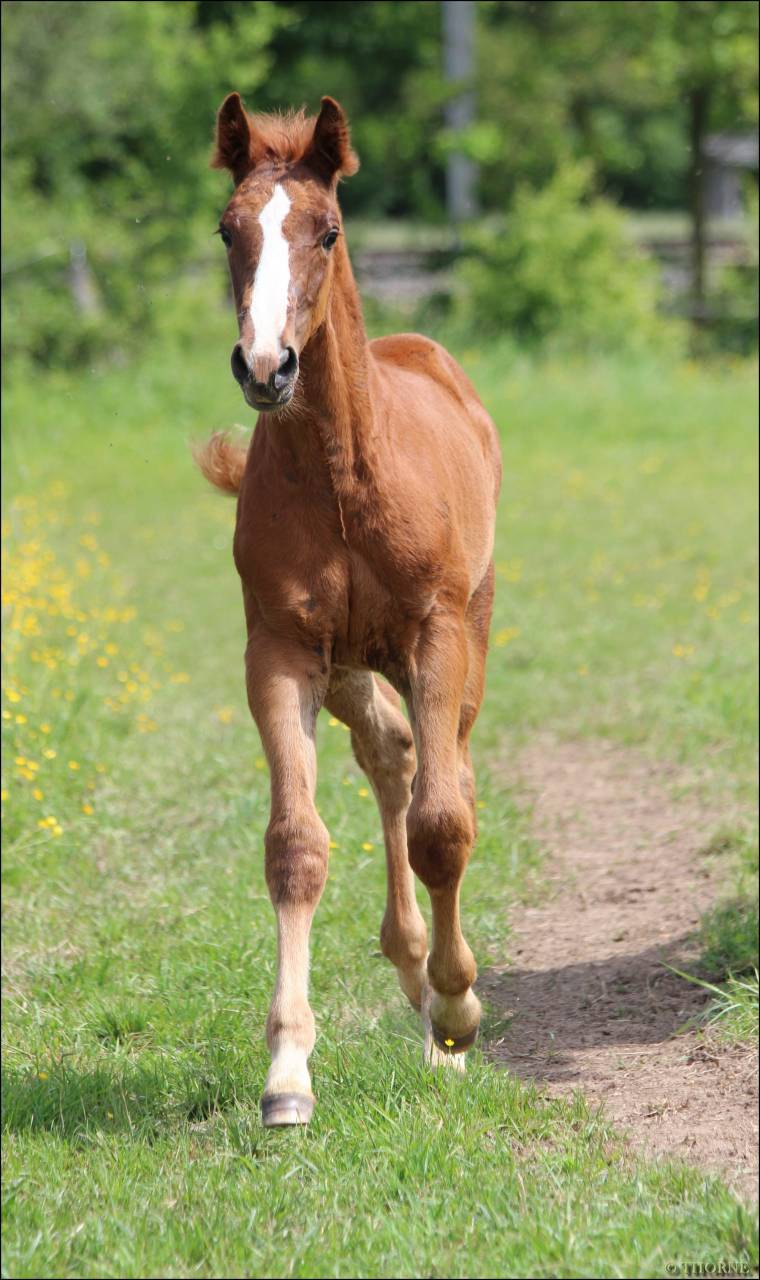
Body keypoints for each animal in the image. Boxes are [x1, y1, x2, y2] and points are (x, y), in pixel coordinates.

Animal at [195, 93, 502, 1127]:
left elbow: (444, 827)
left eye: (326, 230)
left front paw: (459, 1011)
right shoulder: (281, 652)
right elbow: (295, 846)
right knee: (391, 755)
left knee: (446, 777)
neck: (343, 479)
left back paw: (440, 1003)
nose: (266, 367)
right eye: (228, 230)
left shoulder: (436, 635)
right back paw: (408, 970)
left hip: (467, 633)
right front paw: (288, 1071)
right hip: (345, 667)